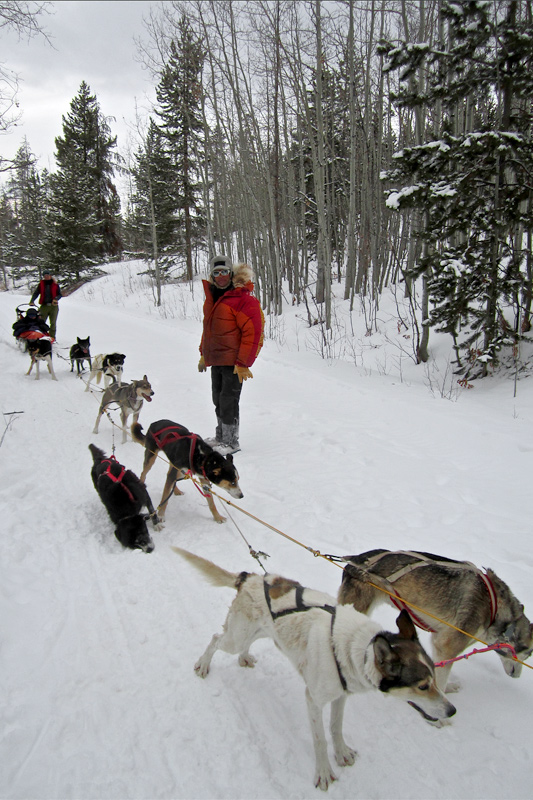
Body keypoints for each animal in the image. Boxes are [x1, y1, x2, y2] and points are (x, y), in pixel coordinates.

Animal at [174, 548, 454, 792]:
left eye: (435, 677)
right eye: (423, 686)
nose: (452, 711)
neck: (354, 648)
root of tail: (250, 577)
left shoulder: (341, 696)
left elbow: (336, 728)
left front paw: (342, 753)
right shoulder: (314, 700)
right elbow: (320, 739)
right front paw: (324, 773)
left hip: (261, 633)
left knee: (244, 644)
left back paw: (243, 658)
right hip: (235, 638)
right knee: (215, 639)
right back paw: (203, 664)